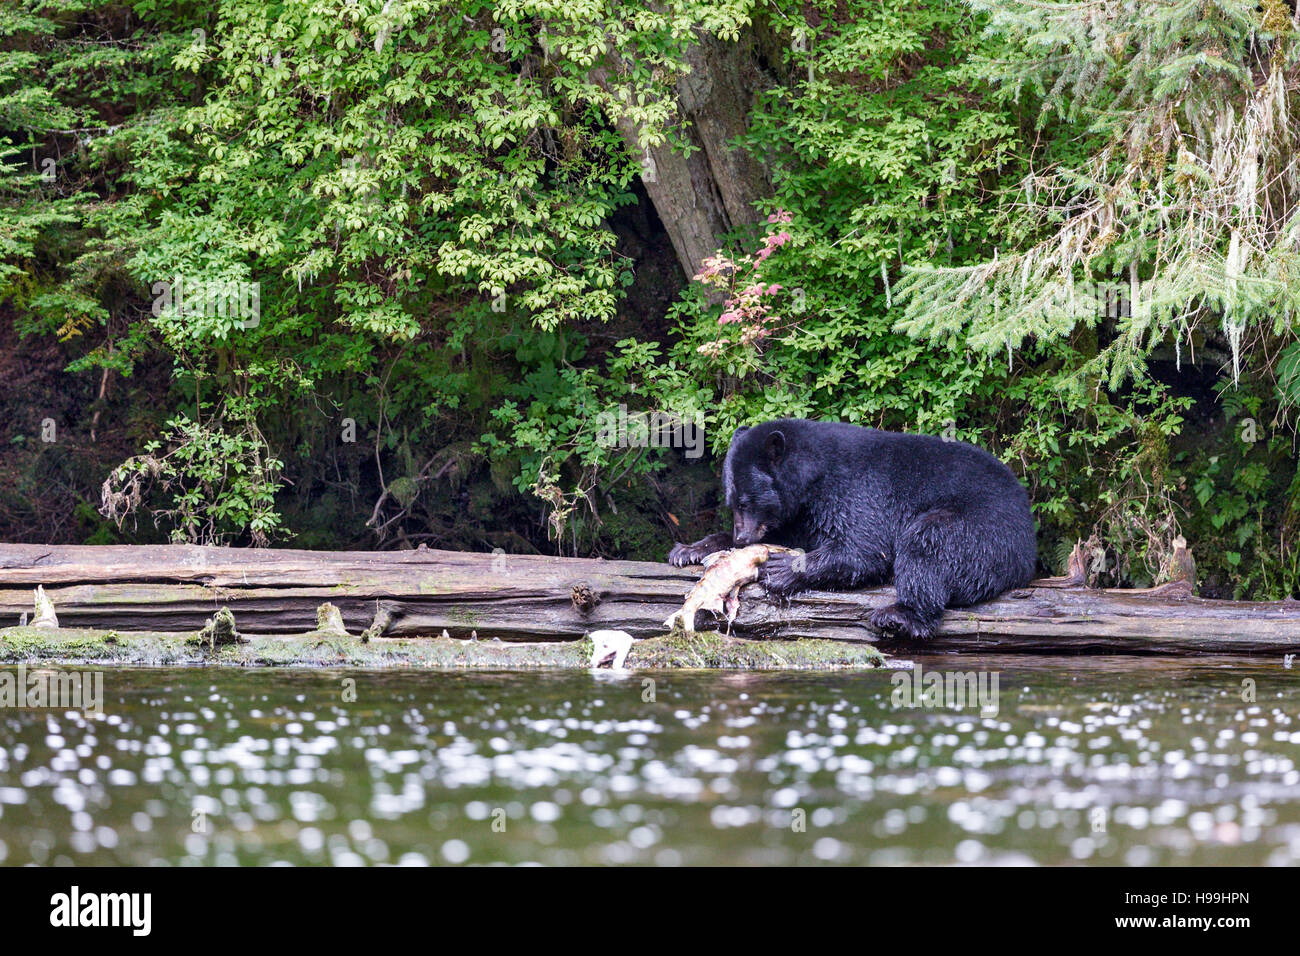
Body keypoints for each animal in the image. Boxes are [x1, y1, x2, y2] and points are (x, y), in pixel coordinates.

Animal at [670, 418, 1034, 634]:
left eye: (747, 502)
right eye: (732, 502)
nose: (742, 536)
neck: (812, 476)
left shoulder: (854, 488)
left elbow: (865, 548)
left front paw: (782, 567)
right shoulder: (803, 513)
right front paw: (689, 549)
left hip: (982, 527)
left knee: (929, 541)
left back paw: (900, 615)